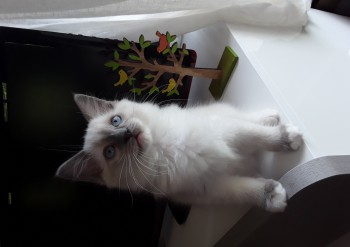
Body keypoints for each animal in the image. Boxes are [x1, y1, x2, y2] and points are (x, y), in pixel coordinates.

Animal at [55, 94, 300, 212]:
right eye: (110, 151)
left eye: (116, 121)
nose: (127, 134)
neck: (163, 149)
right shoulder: (211, 186)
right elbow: (247, 191)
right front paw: (273, 196)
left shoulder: (227, 133)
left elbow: (262, 137)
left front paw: (289, 138)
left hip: (223, 118)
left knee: (250, 120)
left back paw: (271, 117)